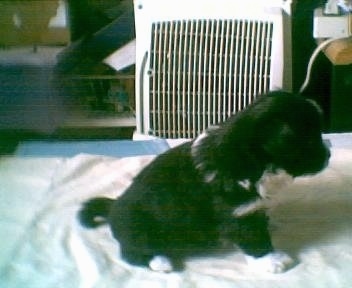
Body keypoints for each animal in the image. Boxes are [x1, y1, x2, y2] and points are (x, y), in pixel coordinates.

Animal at [80, 91, 330, 274]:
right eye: (307, 140)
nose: (328, 156)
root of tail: (113, 206)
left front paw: (269, 221)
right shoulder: (238, 214)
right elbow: (254, 237)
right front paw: (272, 260)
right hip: (139, 229)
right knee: (130, 252)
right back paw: (160, 261)